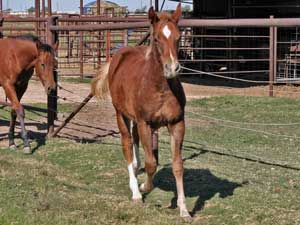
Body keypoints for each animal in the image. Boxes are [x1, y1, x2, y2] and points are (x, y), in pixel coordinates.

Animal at [90, 4, 191, 221]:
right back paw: (135, 191)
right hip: (121, 115)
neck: (160, 88)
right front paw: (144, 186)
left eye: (179, 37)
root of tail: (119, 54)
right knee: (128, 144)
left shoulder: (177, 123)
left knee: (135, 146)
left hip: (135, 120)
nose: (172, 68)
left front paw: (184, 210)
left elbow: (178, 166)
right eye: (156, 39)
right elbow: (151, 163)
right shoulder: (146, 123)